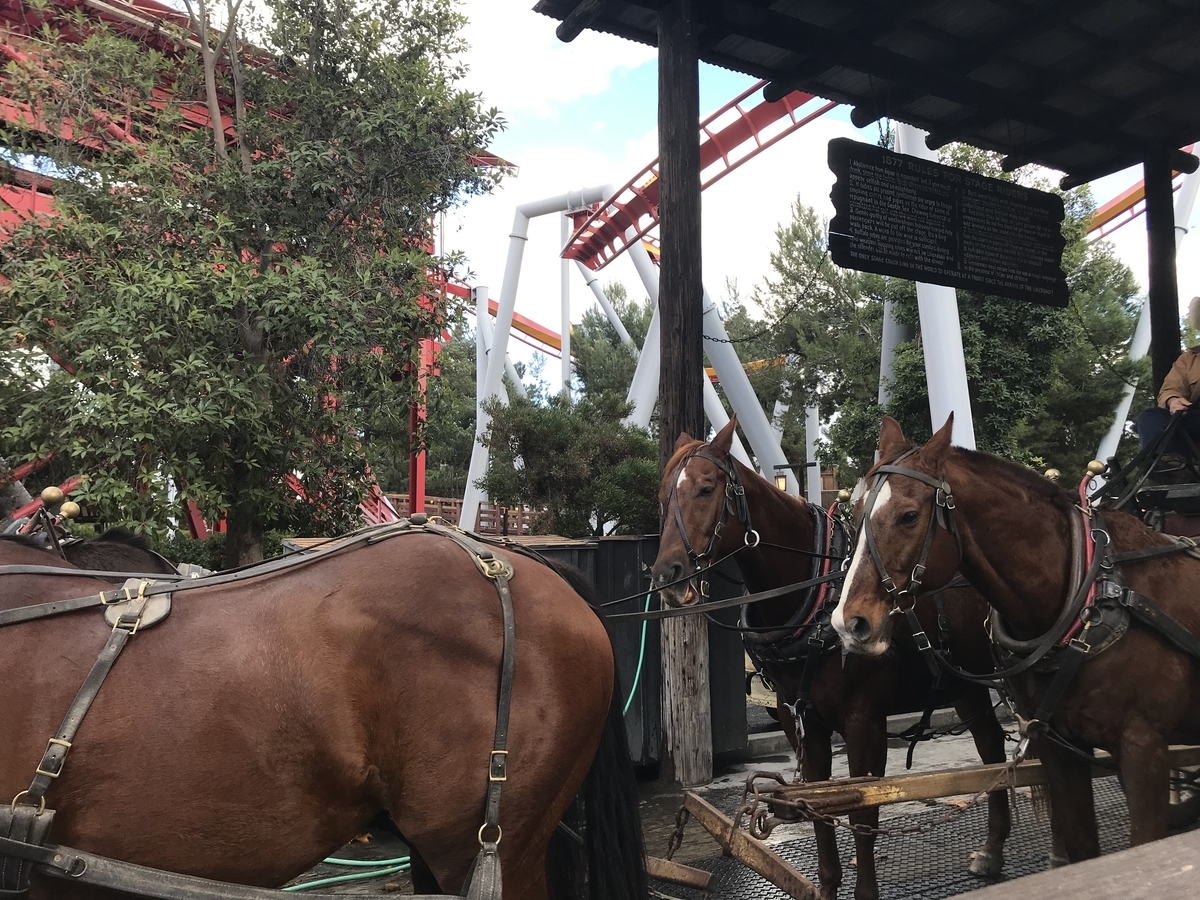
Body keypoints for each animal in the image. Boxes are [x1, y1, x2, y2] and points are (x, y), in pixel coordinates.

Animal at [652, 422, 1008, 900]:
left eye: (706, 489)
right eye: (661, 494)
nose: (666, 575)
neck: (815, 598)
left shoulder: (863, 723)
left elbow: (862, 815)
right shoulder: (800, 720)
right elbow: (816, 806)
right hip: (965, 685)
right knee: (991, 747)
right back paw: (993, 848)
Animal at [835, 417, 1200, 868]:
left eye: (908, 516)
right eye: (855, 513)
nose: (849, 623)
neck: (1087, 596)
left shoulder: (1143, 749)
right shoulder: (1061, 749)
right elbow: (1082, 849)